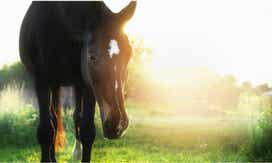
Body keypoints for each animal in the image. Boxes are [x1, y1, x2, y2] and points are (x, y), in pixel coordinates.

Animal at [19, 1, 136, 162]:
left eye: (129, 54)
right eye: (91, 56)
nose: (118, 124)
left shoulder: (88, 85)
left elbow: (87, 130)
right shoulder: (41, 81)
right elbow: (46, 130)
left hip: (75, 84)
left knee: (74, 117)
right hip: (54, 84)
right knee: (54, 119)